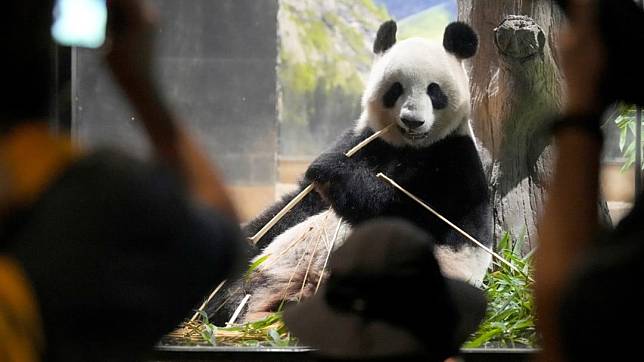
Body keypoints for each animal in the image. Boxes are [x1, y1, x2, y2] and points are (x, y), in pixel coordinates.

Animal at [209, 20, 490, 326]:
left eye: (434, 91)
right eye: (396, 89)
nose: (412, 121)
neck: (408, 147)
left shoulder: (453, 162)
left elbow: (410, 214)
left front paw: (332, 170)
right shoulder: (363, 140)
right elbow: (297, 205)